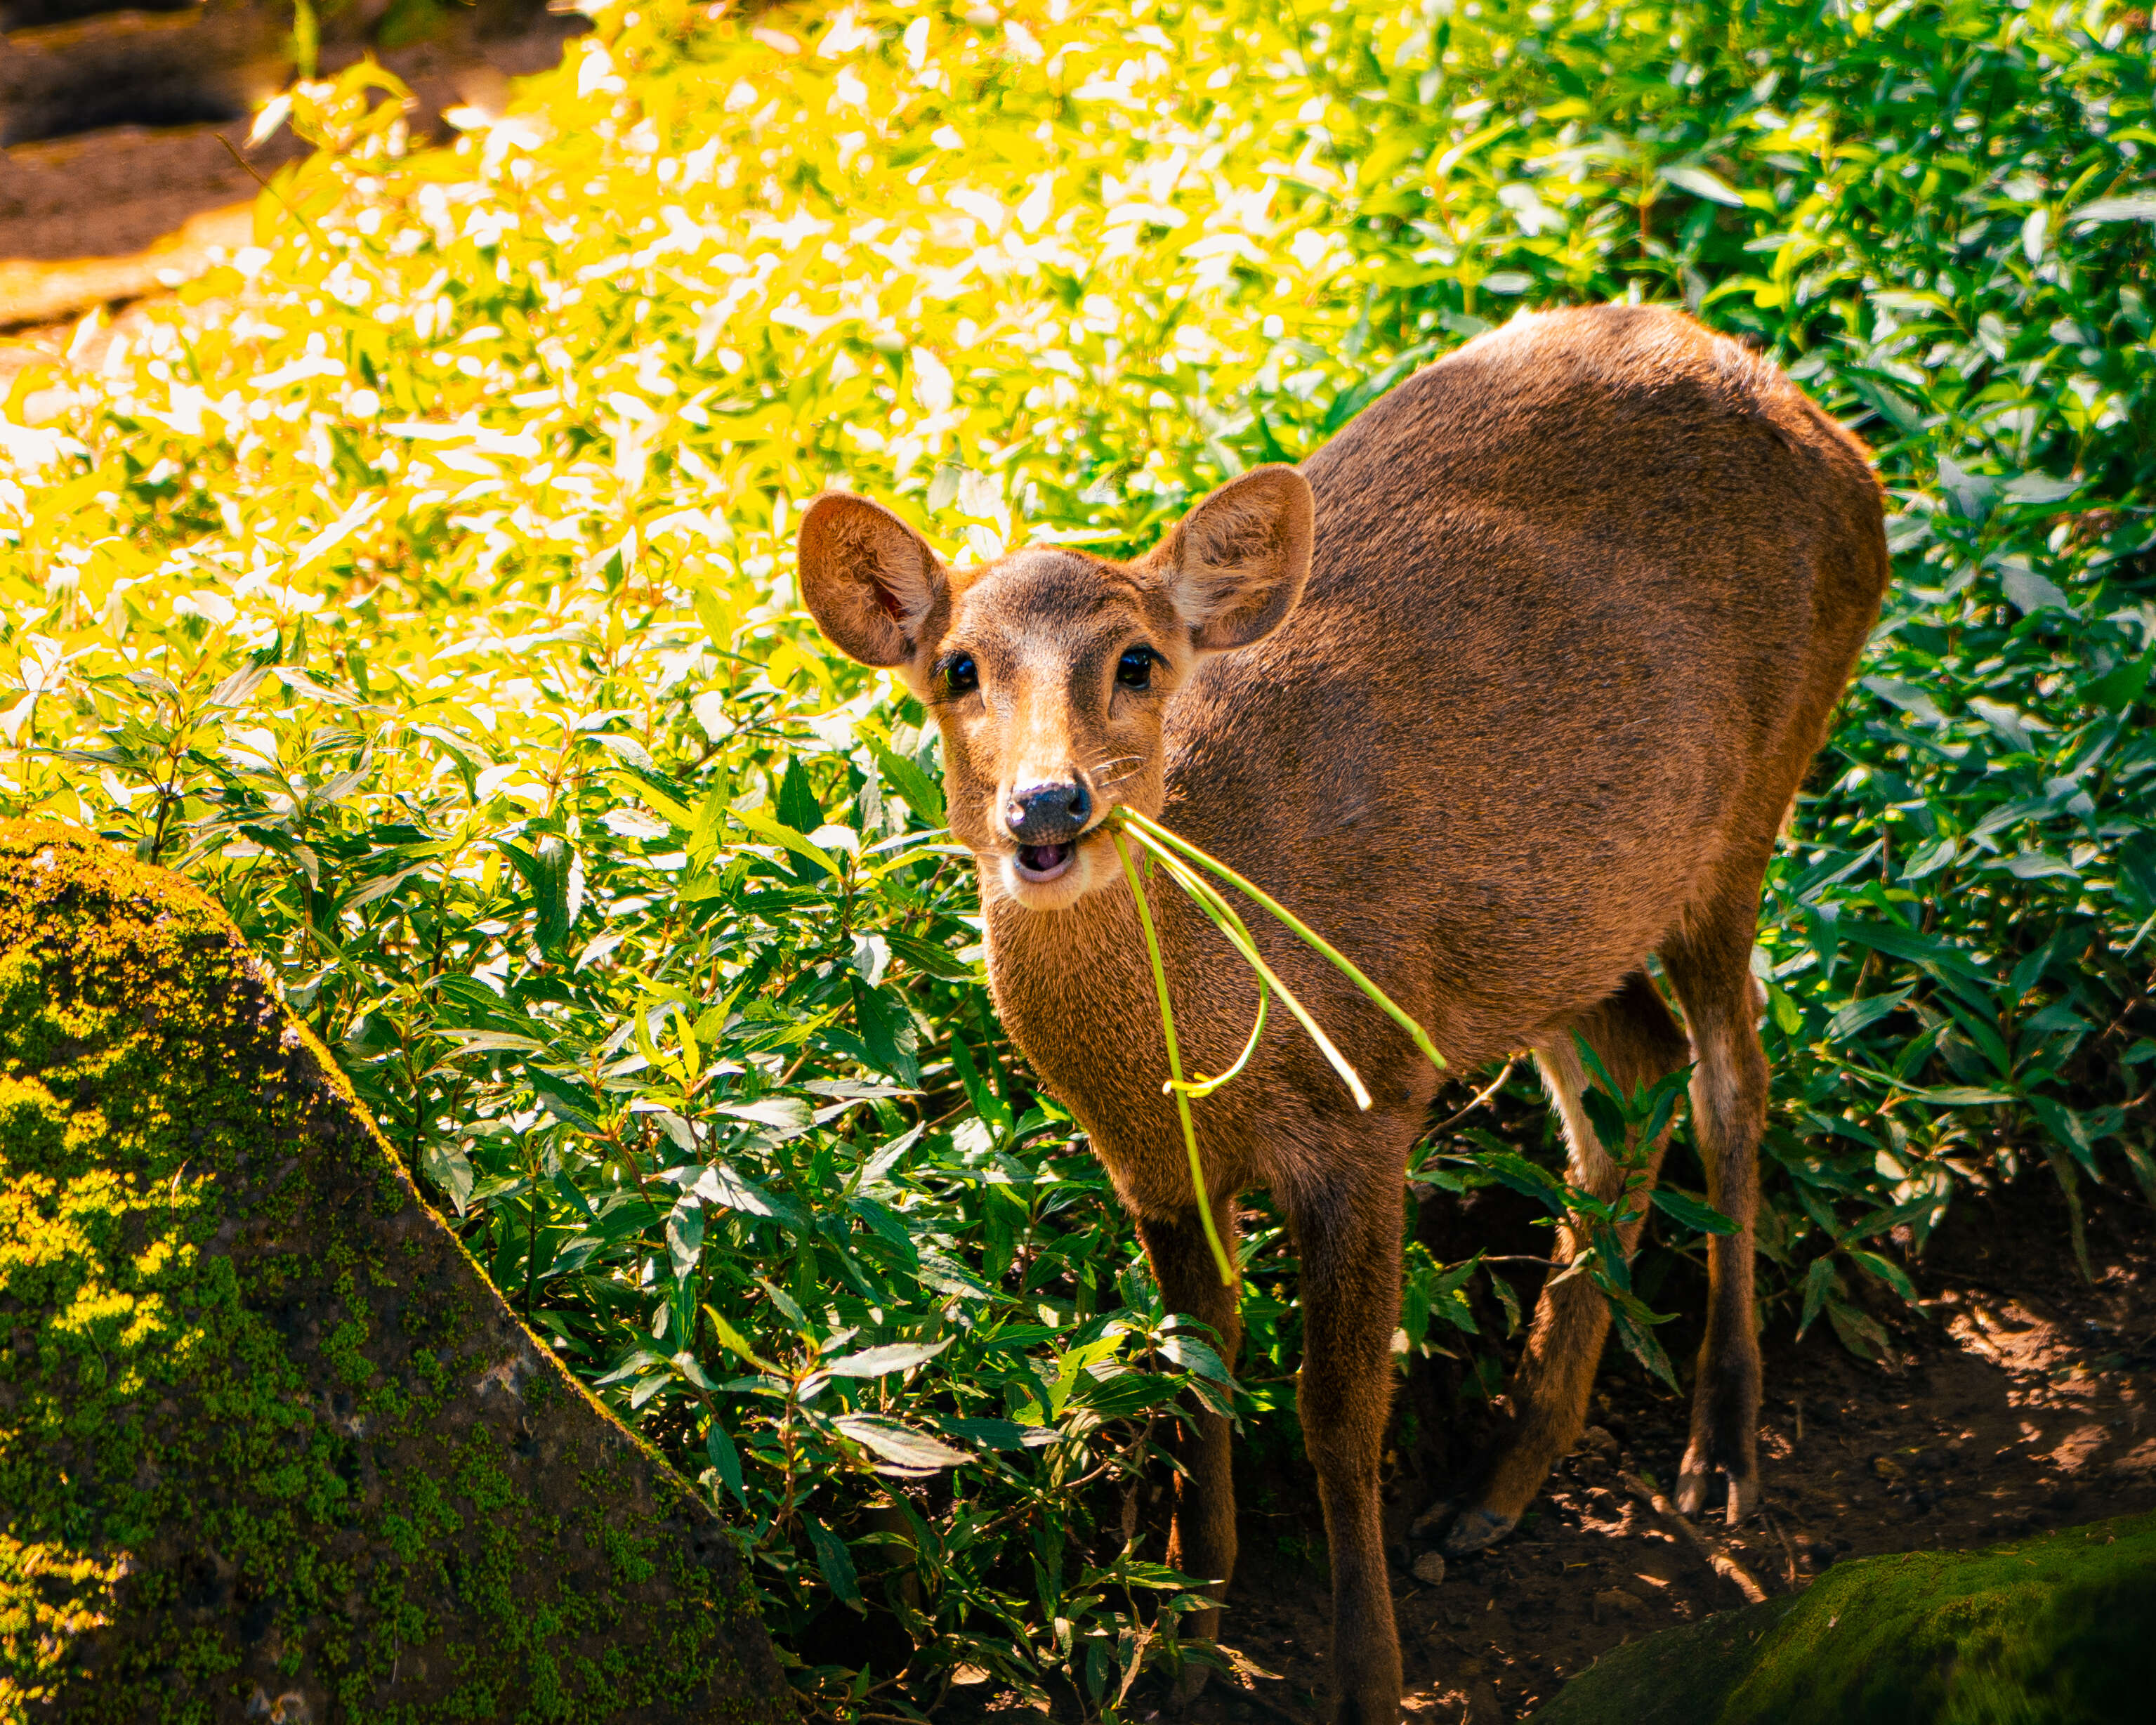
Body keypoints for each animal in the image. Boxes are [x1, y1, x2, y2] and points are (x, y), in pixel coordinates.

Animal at [793, 310, 1888, 1725]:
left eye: (1137, 661)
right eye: (956, 669)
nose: (1048, 804)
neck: (1189, 1054)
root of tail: (1846, 447)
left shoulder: (1365, 1109)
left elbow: (1338, 1411)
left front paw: (1367, 1680)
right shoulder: (1156, 1167)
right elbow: (1195, 1383)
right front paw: (1181, 1641)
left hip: (1754, 790)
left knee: (1732, 1076)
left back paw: (1721, 1446)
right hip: (1550, 928)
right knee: (1633, 1078)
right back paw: (1494, 1486)